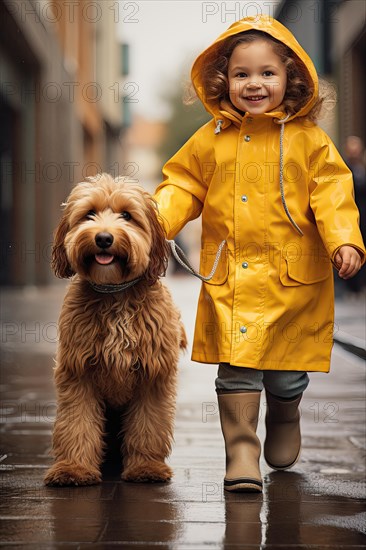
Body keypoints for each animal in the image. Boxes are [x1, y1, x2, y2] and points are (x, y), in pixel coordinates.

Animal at [44, 174, 187, 488]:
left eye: (127, 216)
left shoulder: (153, 375)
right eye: (89, 214)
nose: (104, 238)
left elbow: (148, 425)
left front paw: (146, 467)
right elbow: (76, 423)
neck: (114, 293)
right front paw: (73, 469)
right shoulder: (78, 373)